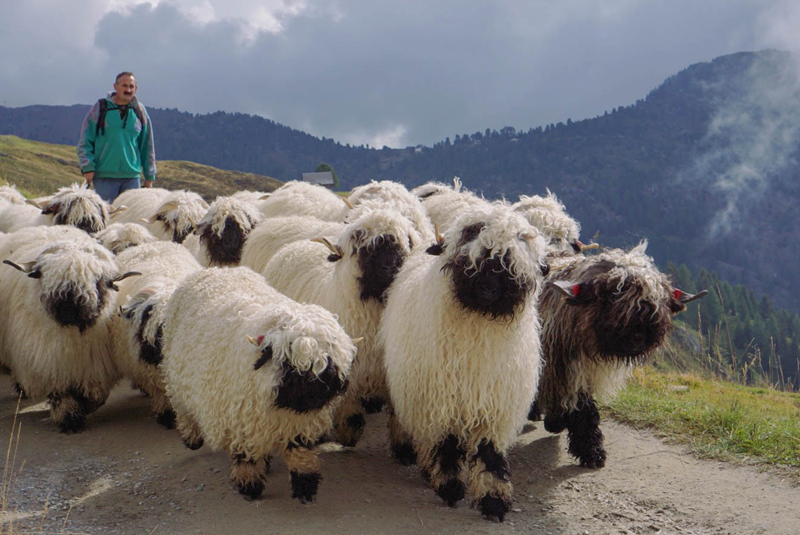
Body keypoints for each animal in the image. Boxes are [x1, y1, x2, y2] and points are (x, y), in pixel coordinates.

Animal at [0, 226, 139, 432]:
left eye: (97, 280)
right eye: (48, 277)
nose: (69, 305)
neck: (72, 332)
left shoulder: (93, 365)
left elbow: (95, 395)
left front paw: (85, 406)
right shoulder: (55, 362)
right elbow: (62, 393)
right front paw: (69, 419)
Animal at [161, 267, 356, 502]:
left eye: (329, 362)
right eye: (288, 362)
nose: (319, 392)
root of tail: (218, 269)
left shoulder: (300, 423)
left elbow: (300, 452)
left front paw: (305, 486)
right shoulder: (241, 420)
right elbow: (246, 457)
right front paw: (249, 487)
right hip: (175, 375)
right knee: (182, 408)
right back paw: (191, 438)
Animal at [262, 207, 424, 448]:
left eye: (406, 242)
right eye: (362, 248)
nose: (391, 266)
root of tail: (296, 245)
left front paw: (404, 447)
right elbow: (348, 406)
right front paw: (349, 433)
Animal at [380, 202, 549, 522]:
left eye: (521, 239)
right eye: (472, 231)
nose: (489, 283)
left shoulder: (496, 403)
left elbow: (490, 454)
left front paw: (494, 501)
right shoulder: (444, 398)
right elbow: (448, 445)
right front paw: (450, 487)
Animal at [533, 241, 706, 469]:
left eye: (658, 298)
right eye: (612, 293)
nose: (639, 331)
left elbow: (579, 405)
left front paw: (589, 448)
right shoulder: (561, 364)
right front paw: (588, 449)